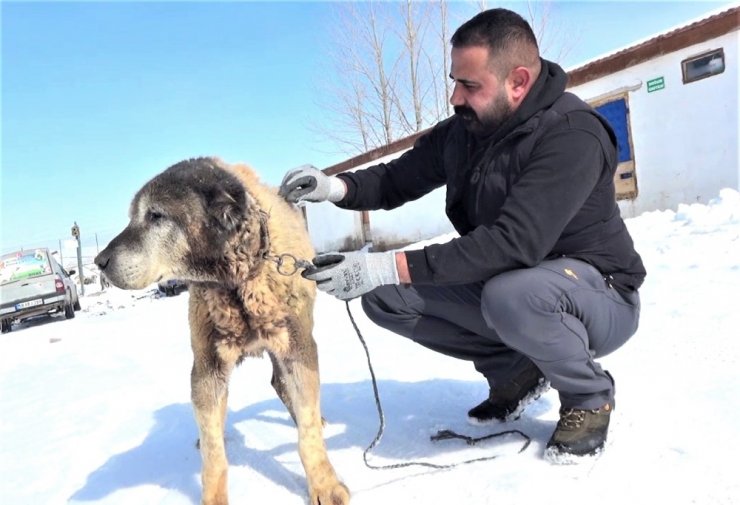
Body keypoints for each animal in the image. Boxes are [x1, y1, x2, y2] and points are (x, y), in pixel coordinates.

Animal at [94, 158, 350, 504]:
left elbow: (307, 430)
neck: (238, 281)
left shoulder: (298, 348)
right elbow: (213, 451)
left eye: (156, 215)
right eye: (134, 216)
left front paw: (324, 484)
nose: (99, 261)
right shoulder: (207, 366)